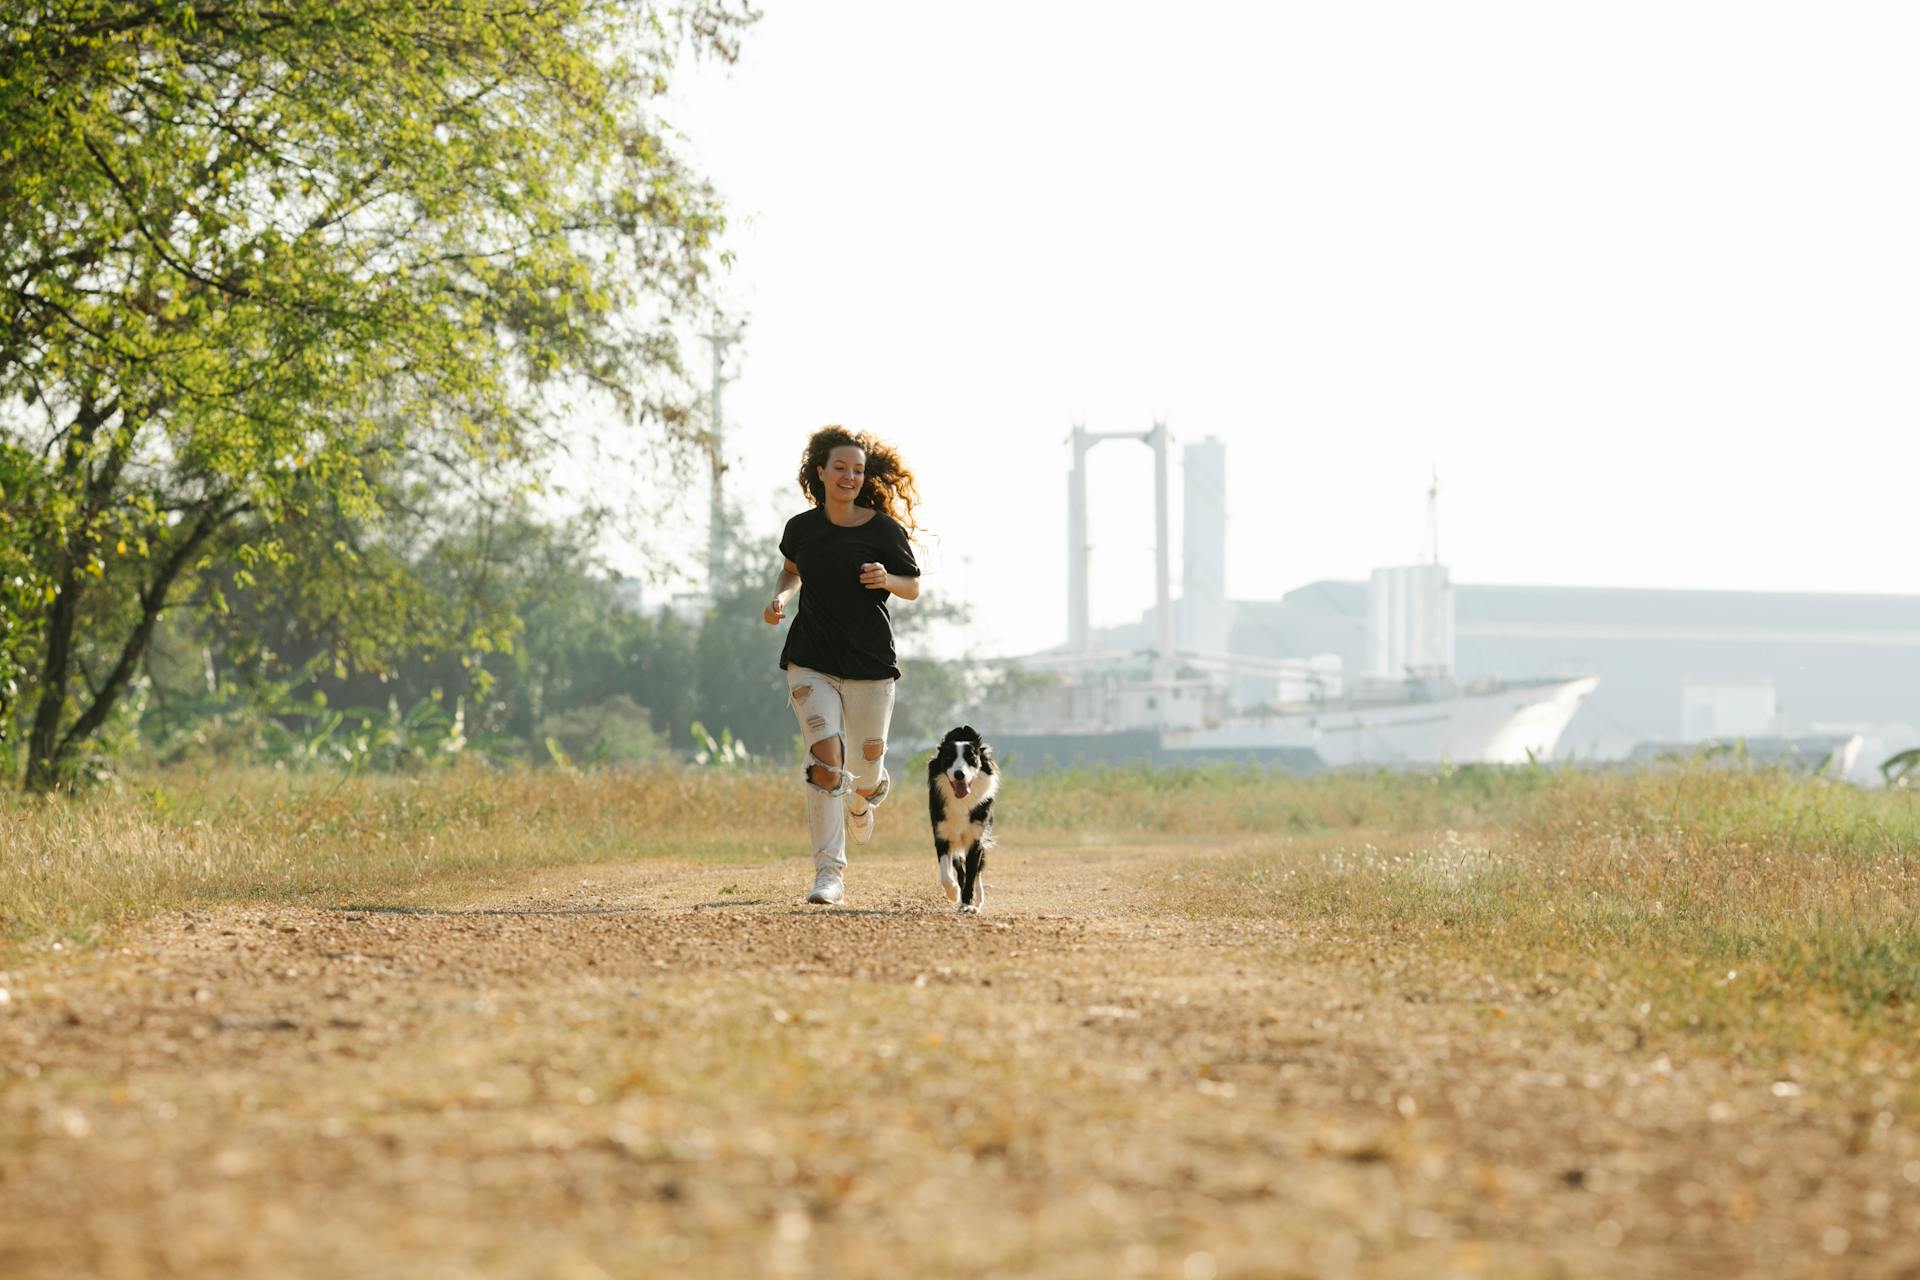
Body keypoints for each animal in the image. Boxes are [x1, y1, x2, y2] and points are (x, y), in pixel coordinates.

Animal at [921, 725, 998, 917]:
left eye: (971, 758)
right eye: (949, 758)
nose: (959, 774)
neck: (961, 802)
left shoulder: (976, 838)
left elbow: (972, 873)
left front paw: (968, 904)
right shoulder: (942, 835)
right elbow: (946, 873)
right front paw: (954, 892)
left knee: (977, 872)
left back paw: (979, 898)